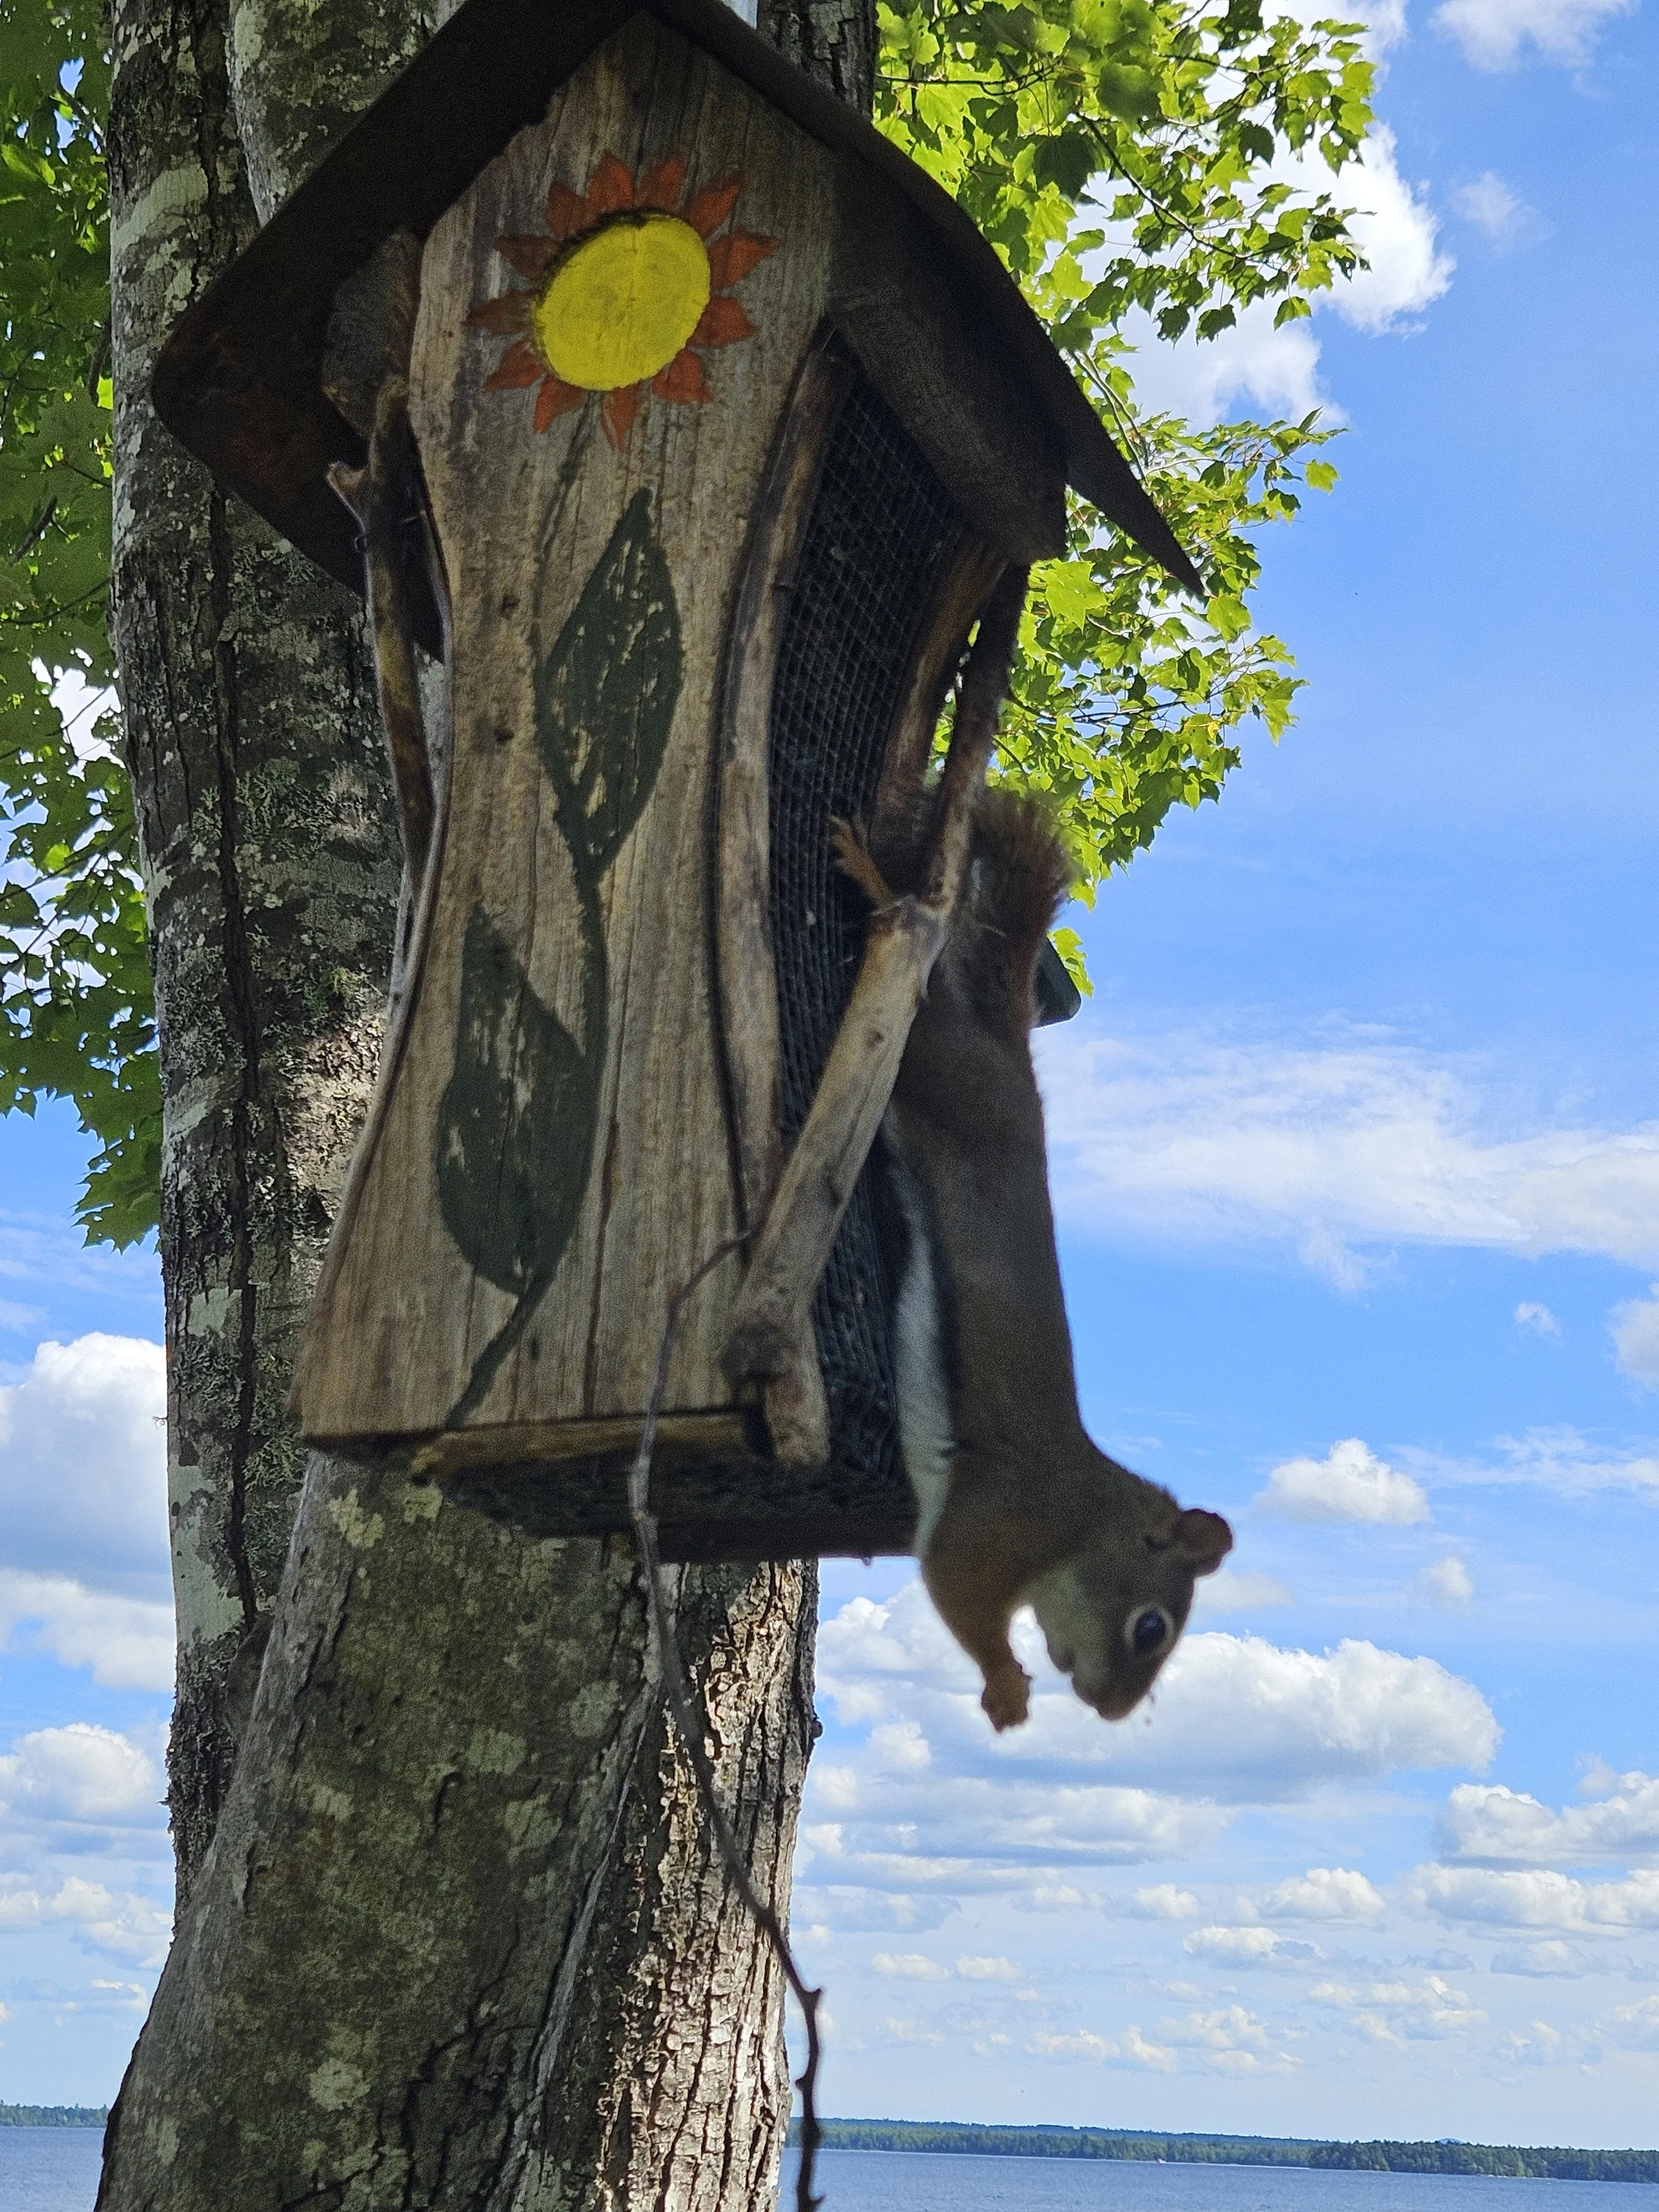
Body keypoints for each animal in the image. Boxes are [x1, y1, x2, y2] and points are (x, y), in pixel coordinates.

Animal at [835, 788, 1233, 1732]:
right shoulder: (999, 1522)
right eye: (1151, 1627)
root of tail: (1010, 1049)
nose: (1114, 1712)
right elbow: (956, 1589)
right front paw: (1005, 1685)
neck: (1082, 1523)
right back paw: (876, 885)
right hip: (942, 1072)